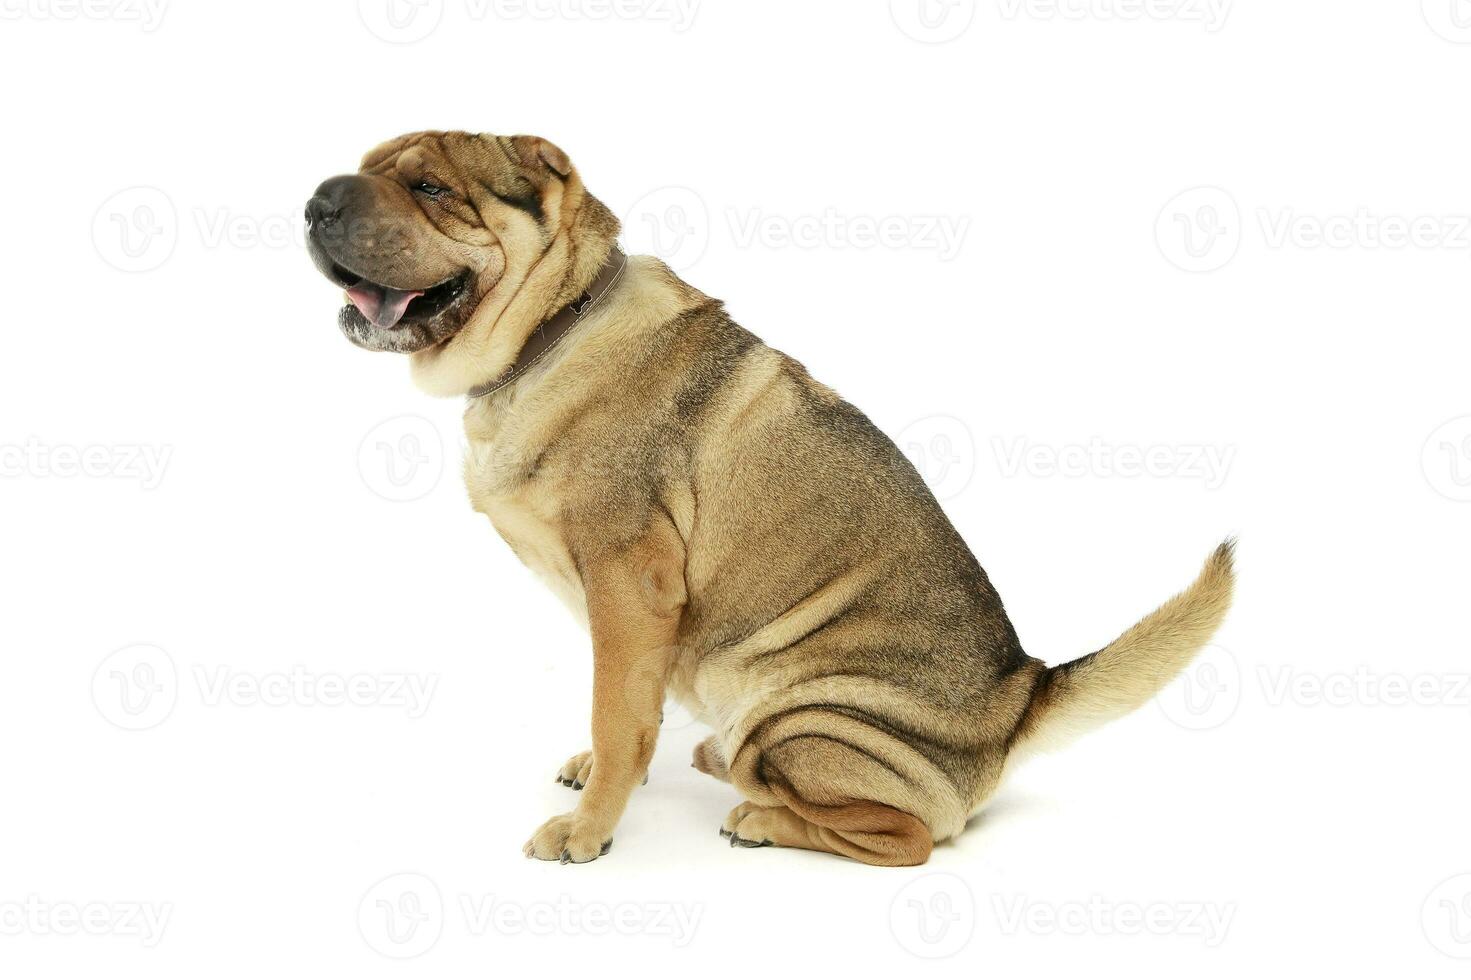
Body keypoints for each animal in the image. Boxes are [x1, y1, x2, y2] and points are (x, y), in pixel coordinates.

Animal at [304, 131, 1235, 865]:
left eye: (429, 188)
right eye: (368, 167)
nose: (317, 200)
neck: (550, 331)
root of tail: (1020, 696)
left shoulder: (628, 584)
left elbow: (616, 712)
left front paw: (588, 828)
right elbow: (629, 708)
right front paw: (602, 777)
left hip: (800, 716)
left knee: (909, 838)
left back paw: (758, 815)